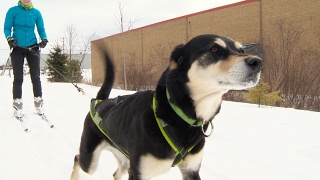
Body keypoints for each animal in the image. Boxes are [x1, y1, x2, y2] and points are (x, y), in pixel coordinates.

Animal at [70, 34, 262, 179]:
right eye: (214, 49)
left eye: (241, 50)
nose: (258, 62)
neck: (179, 116)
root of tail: (100, 102)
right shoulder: (140, 172)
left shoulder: (191, 170)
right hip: (90, 160)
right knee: (78, 158)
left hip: (124, 158)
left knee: (117, 173)